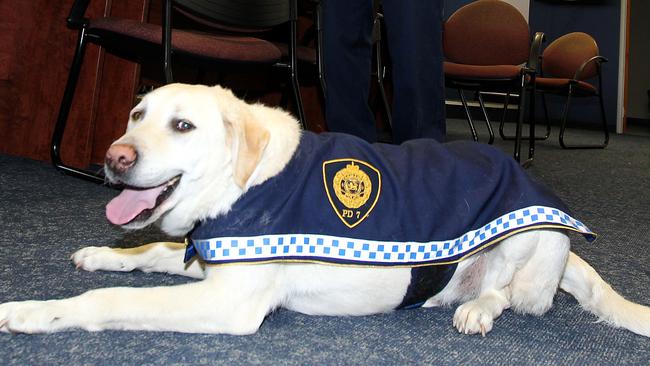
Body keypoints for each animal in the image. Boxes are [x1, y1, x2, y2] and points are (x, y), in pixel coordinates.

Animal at [1, 83, 648, 338]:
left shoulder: (228, 300)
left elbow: (106, 301)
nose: (115, 156)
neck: (242, 185)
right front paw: (101, 253)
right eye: (137, 114)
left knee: (507, 294)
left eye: (183, 126)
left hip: (527, 243)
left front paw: (30, 313)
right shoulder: (207, 259)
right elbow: (151, 248)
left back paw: (477, 312)